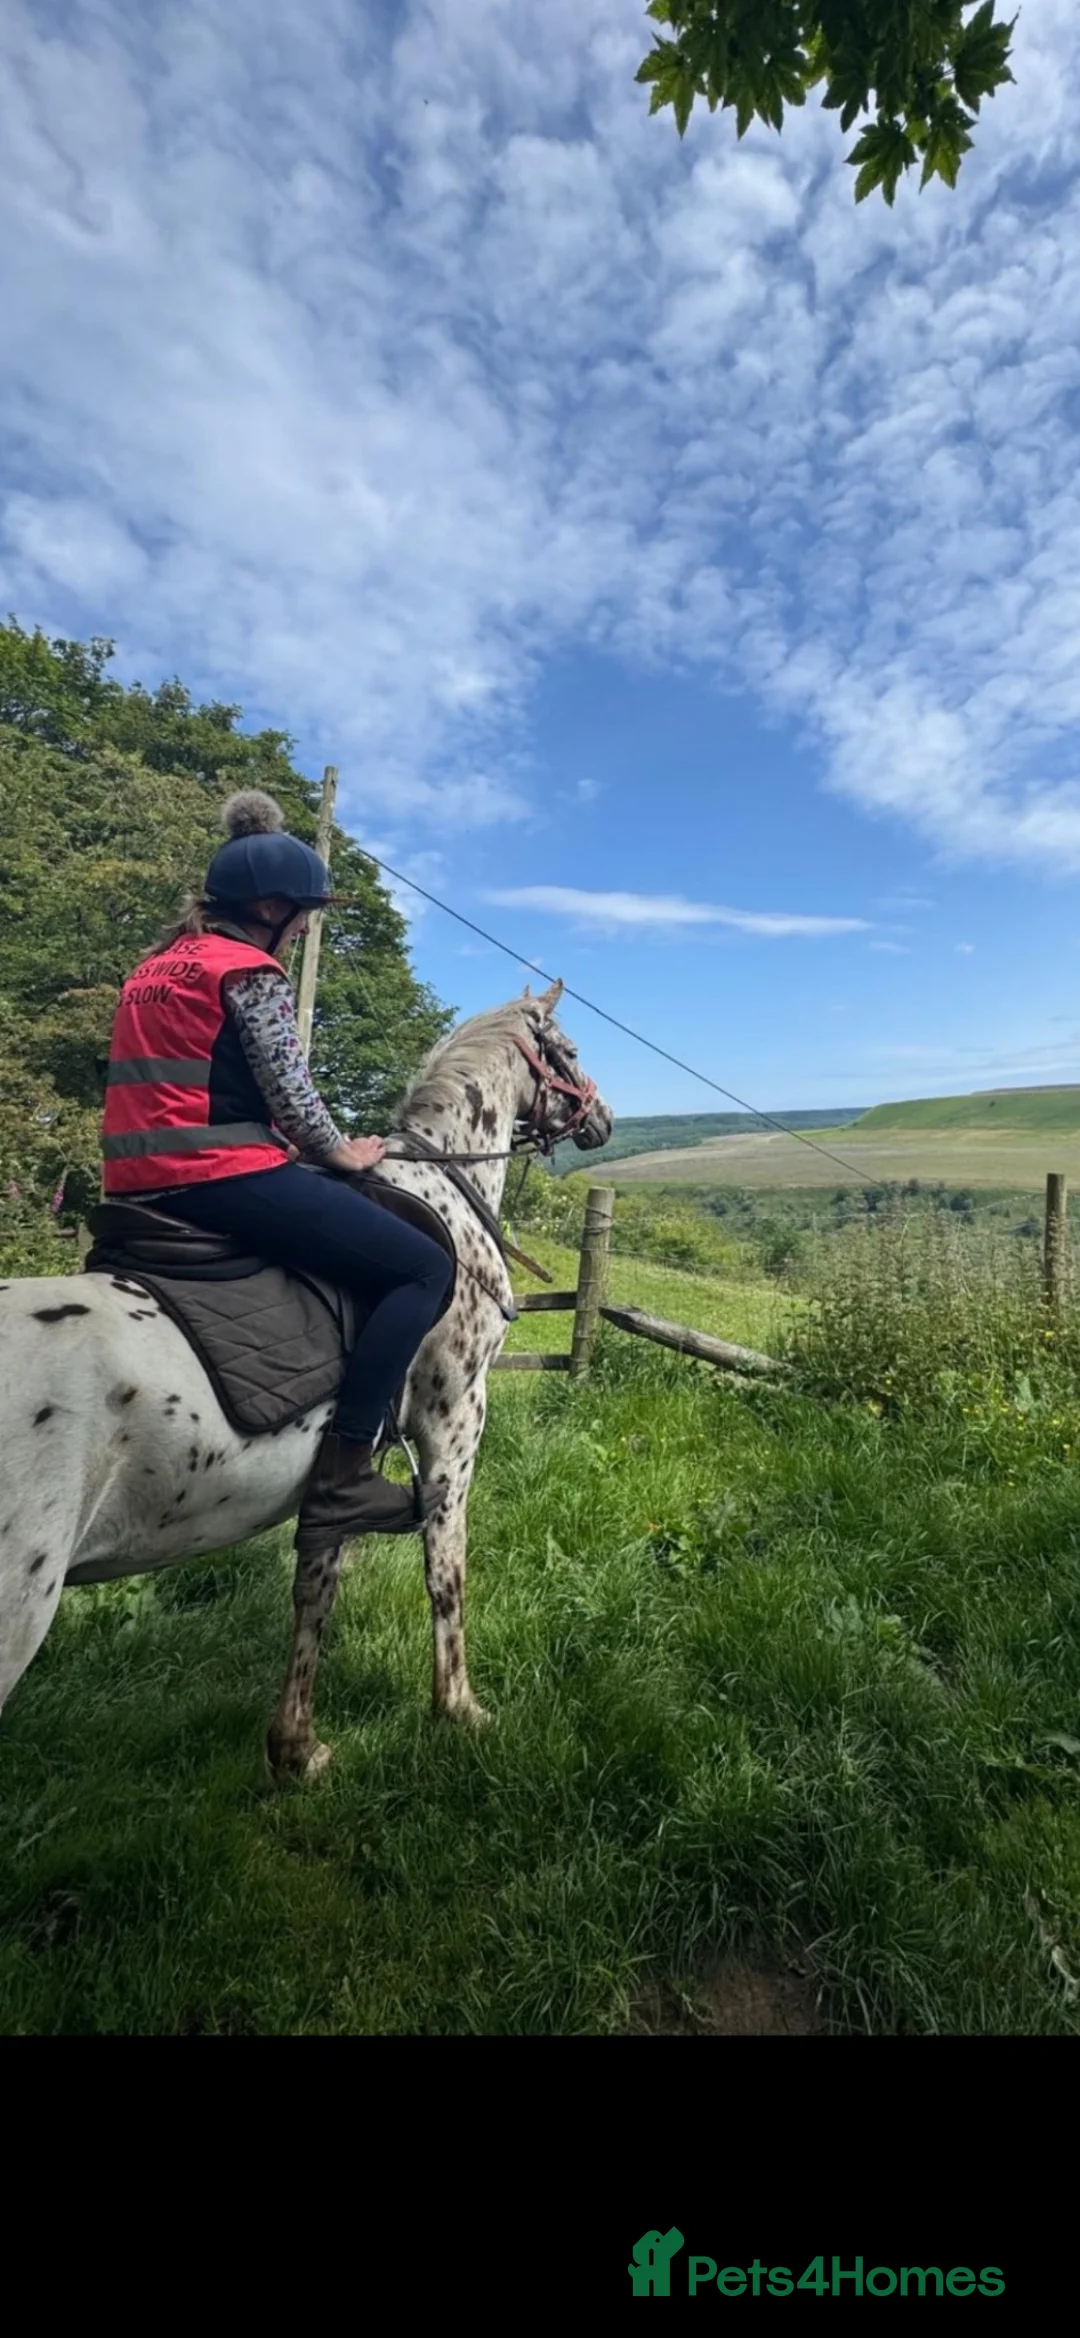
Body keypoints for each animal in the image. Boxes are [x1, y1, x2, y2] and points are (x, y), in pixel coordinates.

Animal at [0, 980, 613, 1780]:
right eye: (568, 1050)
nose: (603, 1118)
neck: (443, 1184)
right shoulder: (453, 1426)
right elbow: (445, 1571)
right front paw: (459, 1708)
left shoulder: (341, 1463)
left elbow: (316, 1583)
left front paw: (294, 1746)